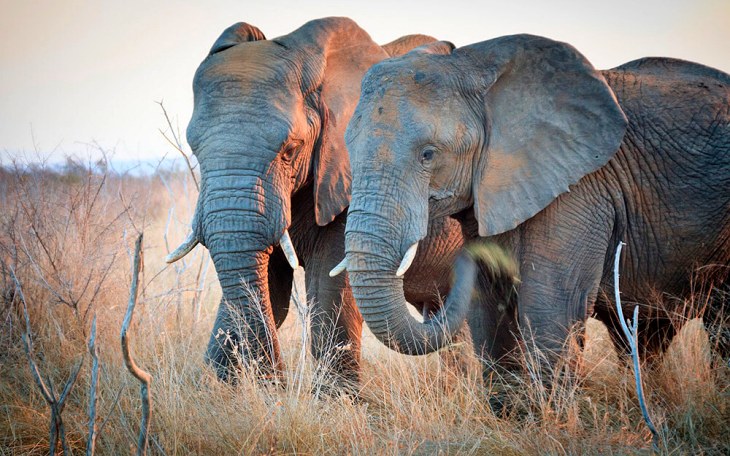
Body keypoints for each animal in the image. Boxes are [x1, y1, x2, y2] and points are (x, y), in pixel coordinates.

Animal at [166, 17, 465, 385]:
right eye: (195, 150)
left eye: (290, 150)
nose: (277, 384)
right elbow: (269, 287)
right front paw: (215, 386)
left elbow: (329, 287)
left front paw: (339, 398)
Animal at [339, 34, 730, 374]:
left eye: (428, 154)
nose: (462, 259)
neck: (473, 65)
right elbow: (490, 316)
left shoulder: (580, 190)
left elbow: (550, 314)